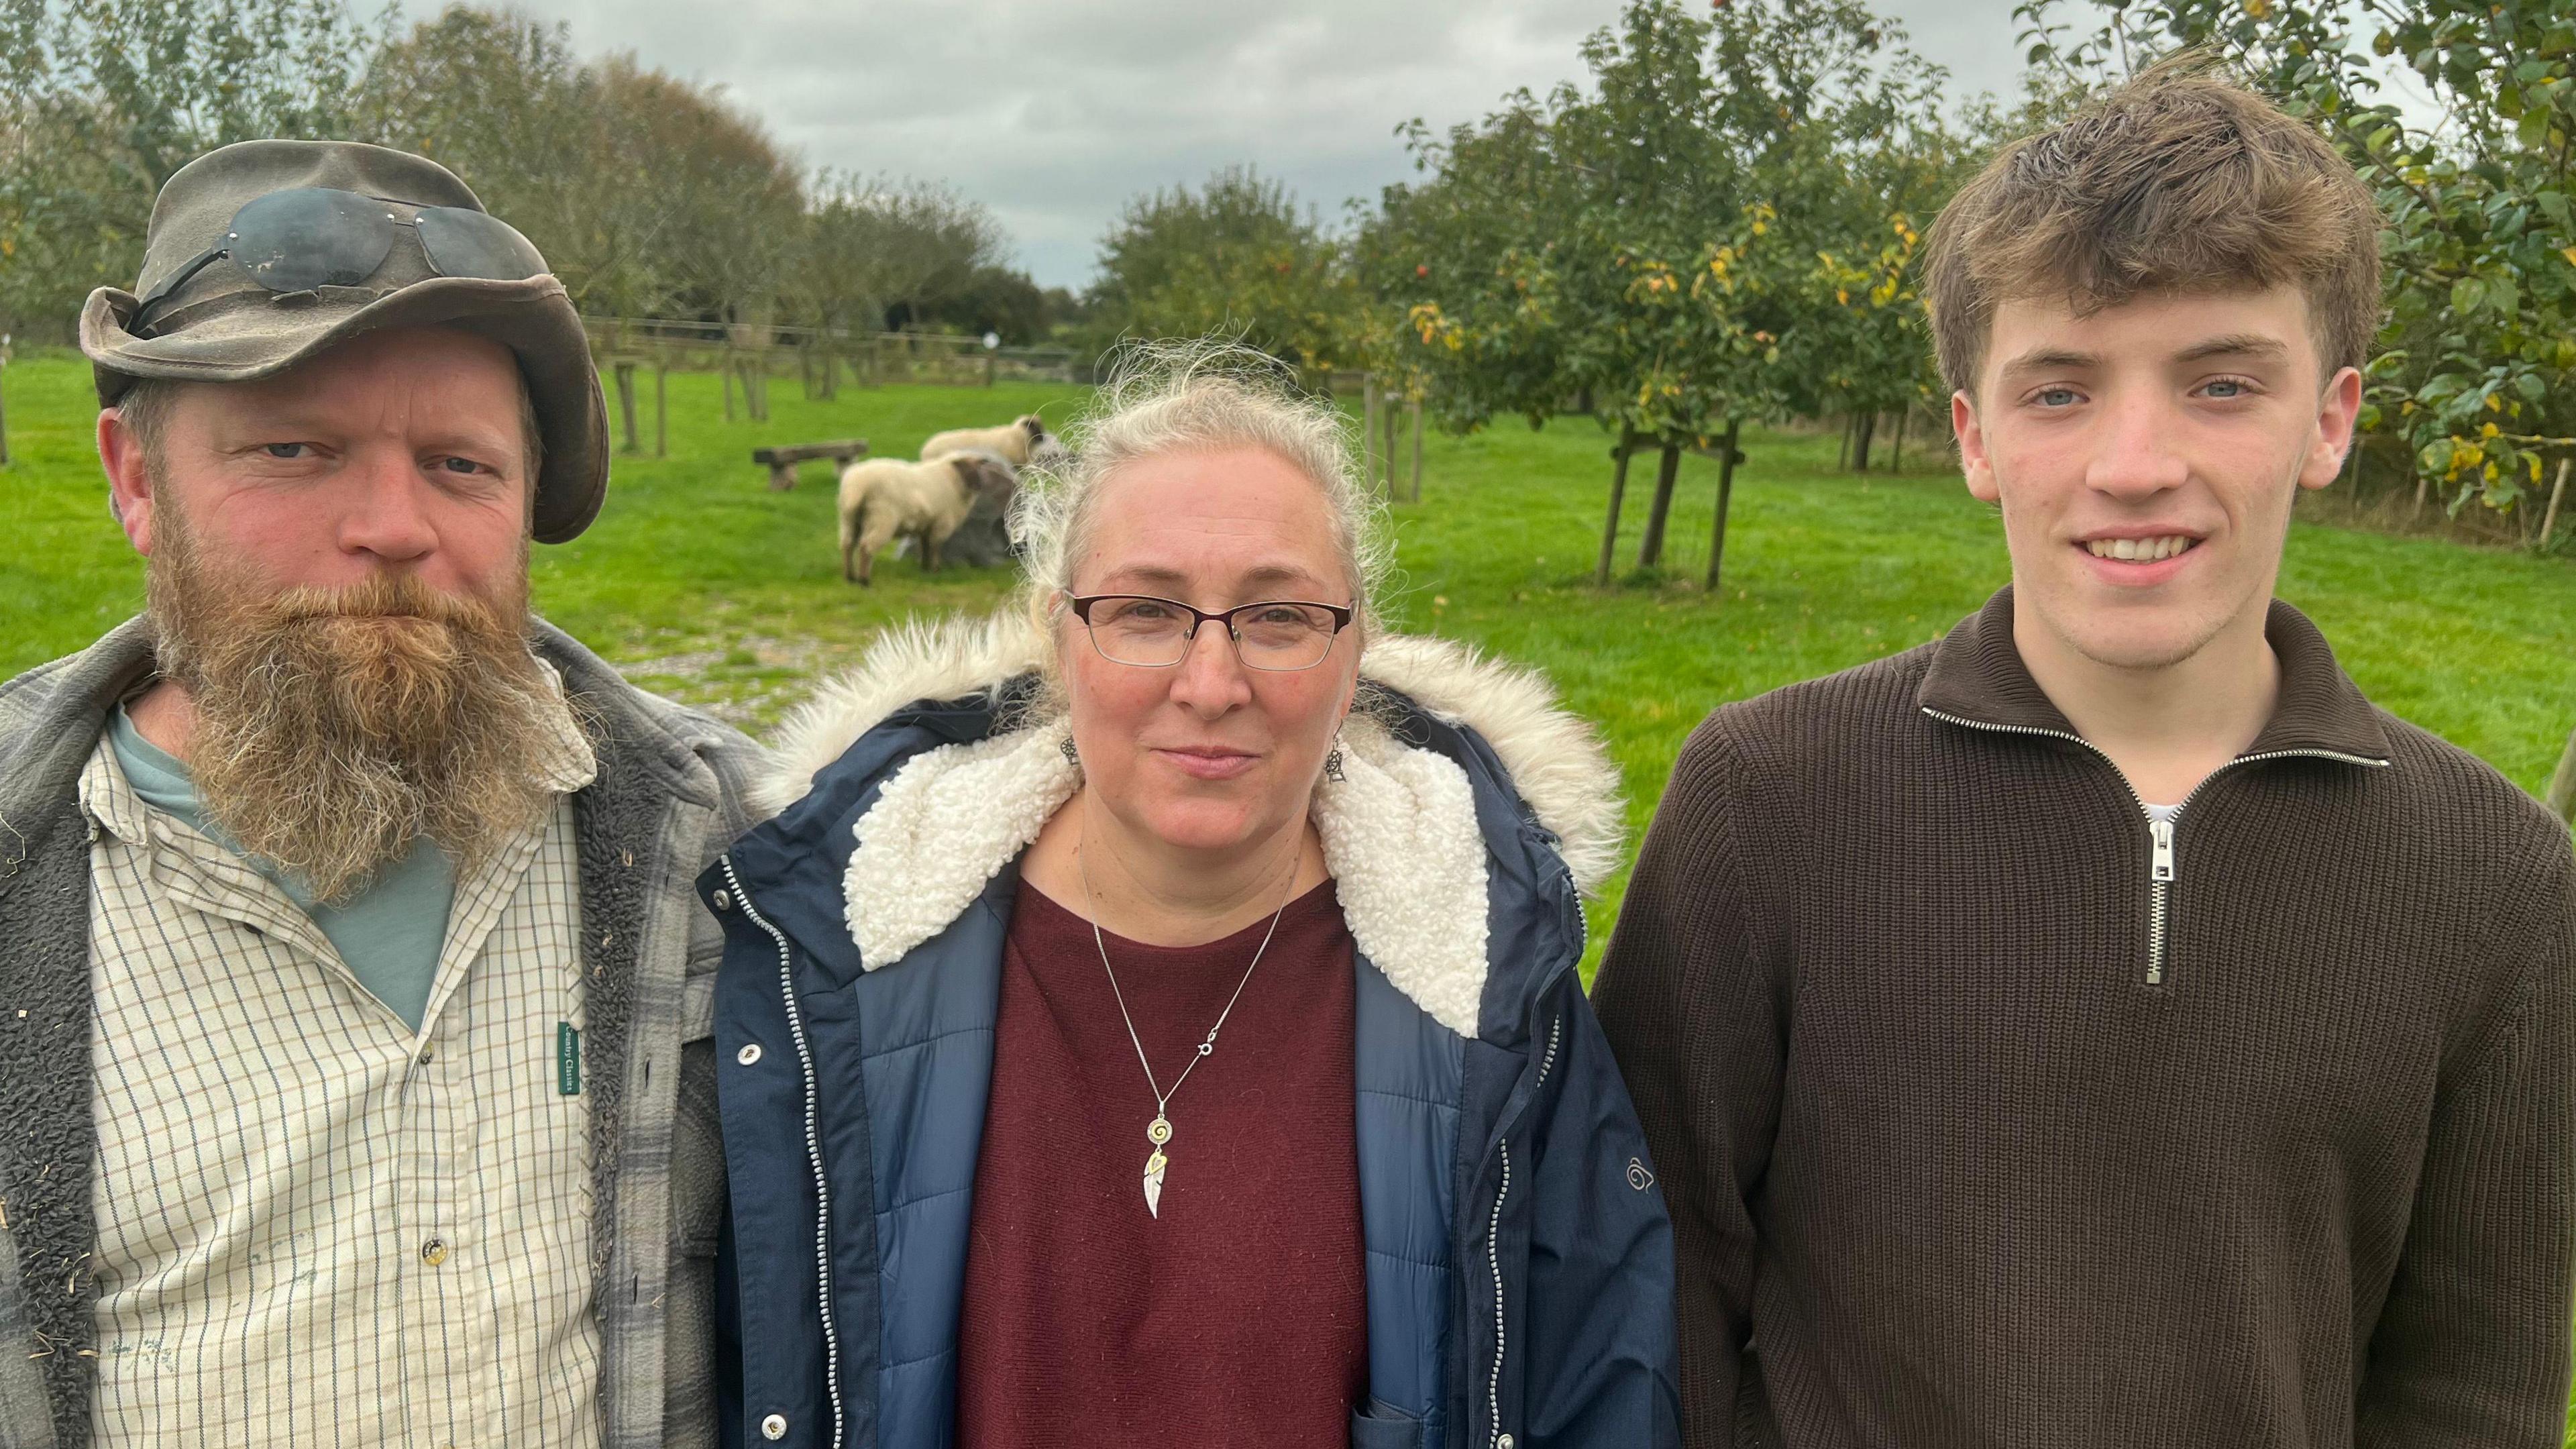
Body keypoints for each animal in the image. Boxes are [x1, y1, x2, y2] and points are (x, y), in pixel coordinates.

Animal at [835, 453, 1014, 582]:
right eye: (966, 469)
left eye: (979, 469)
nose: (978, 486)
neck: (953, 480)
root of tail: (857, 487)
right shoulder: (940, 523)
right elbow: (935, 546)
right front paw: (935, 569)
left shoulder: (926, 524)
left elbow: (925, 546)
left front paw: (925, 568)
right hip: (882, 518)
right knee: (867, 547)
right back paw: (864, 581)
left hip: (849, 520)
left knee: (847, 545)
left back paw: (850, 577)